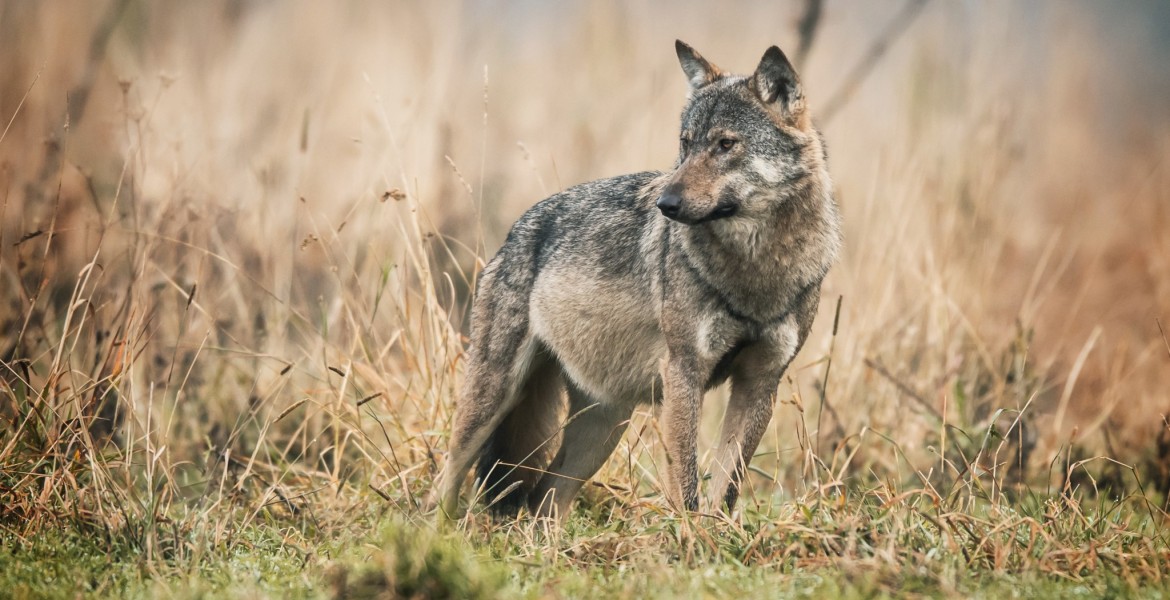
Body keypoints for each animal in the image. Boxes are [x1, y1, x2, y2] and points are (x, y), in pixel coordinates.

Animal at [432, 41, 842, 521]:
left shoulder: (761, 380)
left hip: (602, 429)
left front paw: (717, 535)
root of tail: (516, 231)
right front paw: (688, 537)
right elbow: (686, 485)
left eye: (725, 144)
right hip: (494, 397)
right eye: (685, 144)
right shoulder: (684, 373)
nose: (666, 203)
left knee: (544, 500)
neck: (756, 271)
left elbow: (727, 488)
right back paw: (432, 530)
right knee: (446, 480)